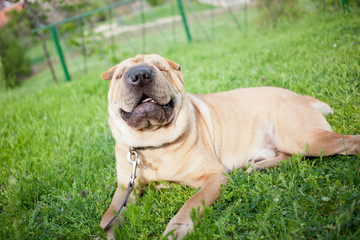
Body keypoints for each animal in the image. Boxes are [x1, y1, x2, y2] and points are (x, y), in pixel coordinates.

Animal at [99, 53, 360, 239]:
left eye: (161, 68)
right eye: (120, 75)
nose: (140, 75)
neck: (152, 143)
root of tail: (300, 96)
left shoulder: (214, 177)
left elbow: (191, 202)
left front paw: (177, 229)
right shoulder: (126, 187)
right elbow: (110, 214)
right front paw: (103, 234)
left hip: (305, 137)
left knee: (346, 142)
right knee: (292, 156)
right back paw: (260, 166)